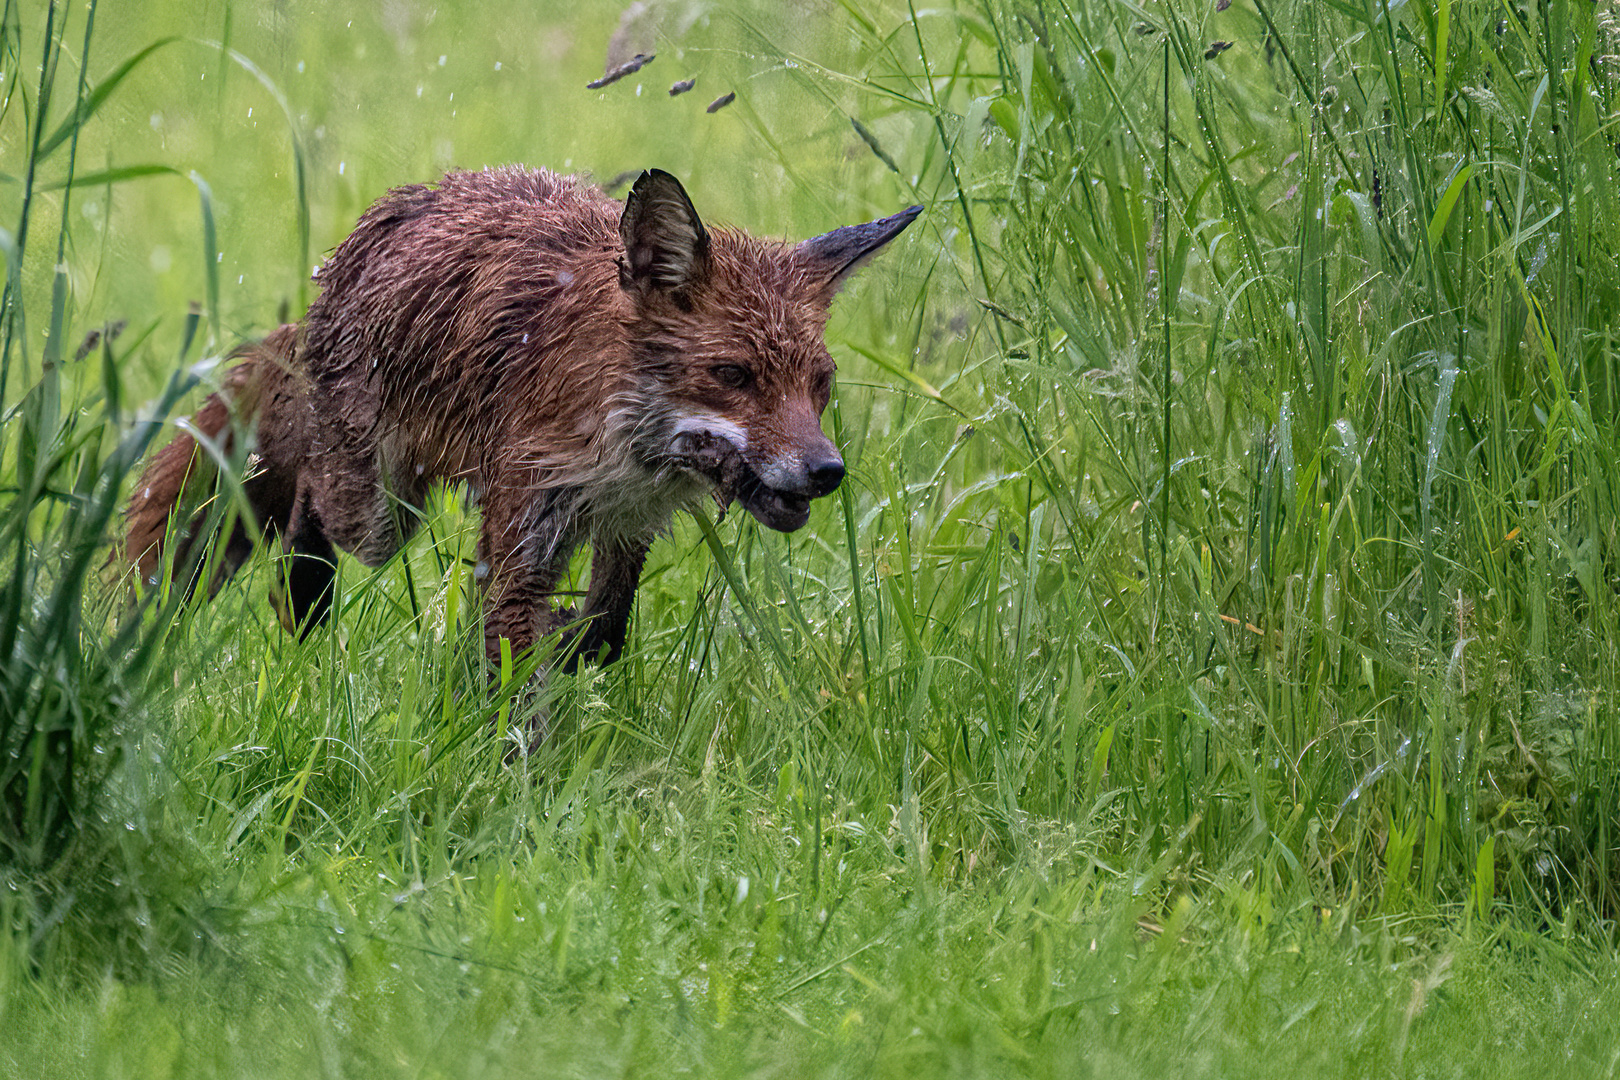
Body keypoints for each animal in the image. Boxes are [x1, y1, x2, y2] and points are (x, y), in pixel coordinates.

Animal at [126, 165, 926, 696]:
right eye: (733, 375)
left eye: (820, 384)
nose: (827, 471)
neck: (627, 448)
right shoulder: (522, 525)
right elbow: (517, 676)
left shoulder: (625, 524)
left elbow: (601, 631)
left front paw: (565, 654)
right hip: (382, 512)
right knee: (307, 512)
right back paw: (302, 609)